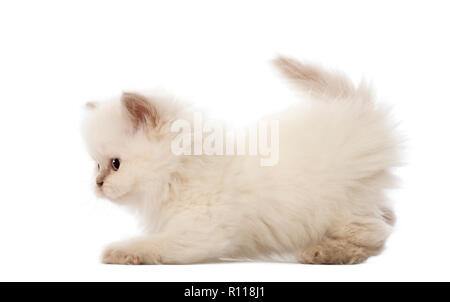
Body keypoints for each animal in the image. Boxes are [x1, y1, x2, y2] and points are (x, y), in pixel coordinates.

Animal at [82, 56, 402, 264]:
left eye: (115, 164)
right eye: (96, 165)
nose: (97, 183)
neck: (181, 171)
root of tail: (359, 113)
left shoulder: (202, 230)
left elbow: (157, 245)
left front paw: (121, 250)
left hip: (342, 208)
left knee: (375, 233)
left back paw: (323, 252)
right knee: (386, 221)